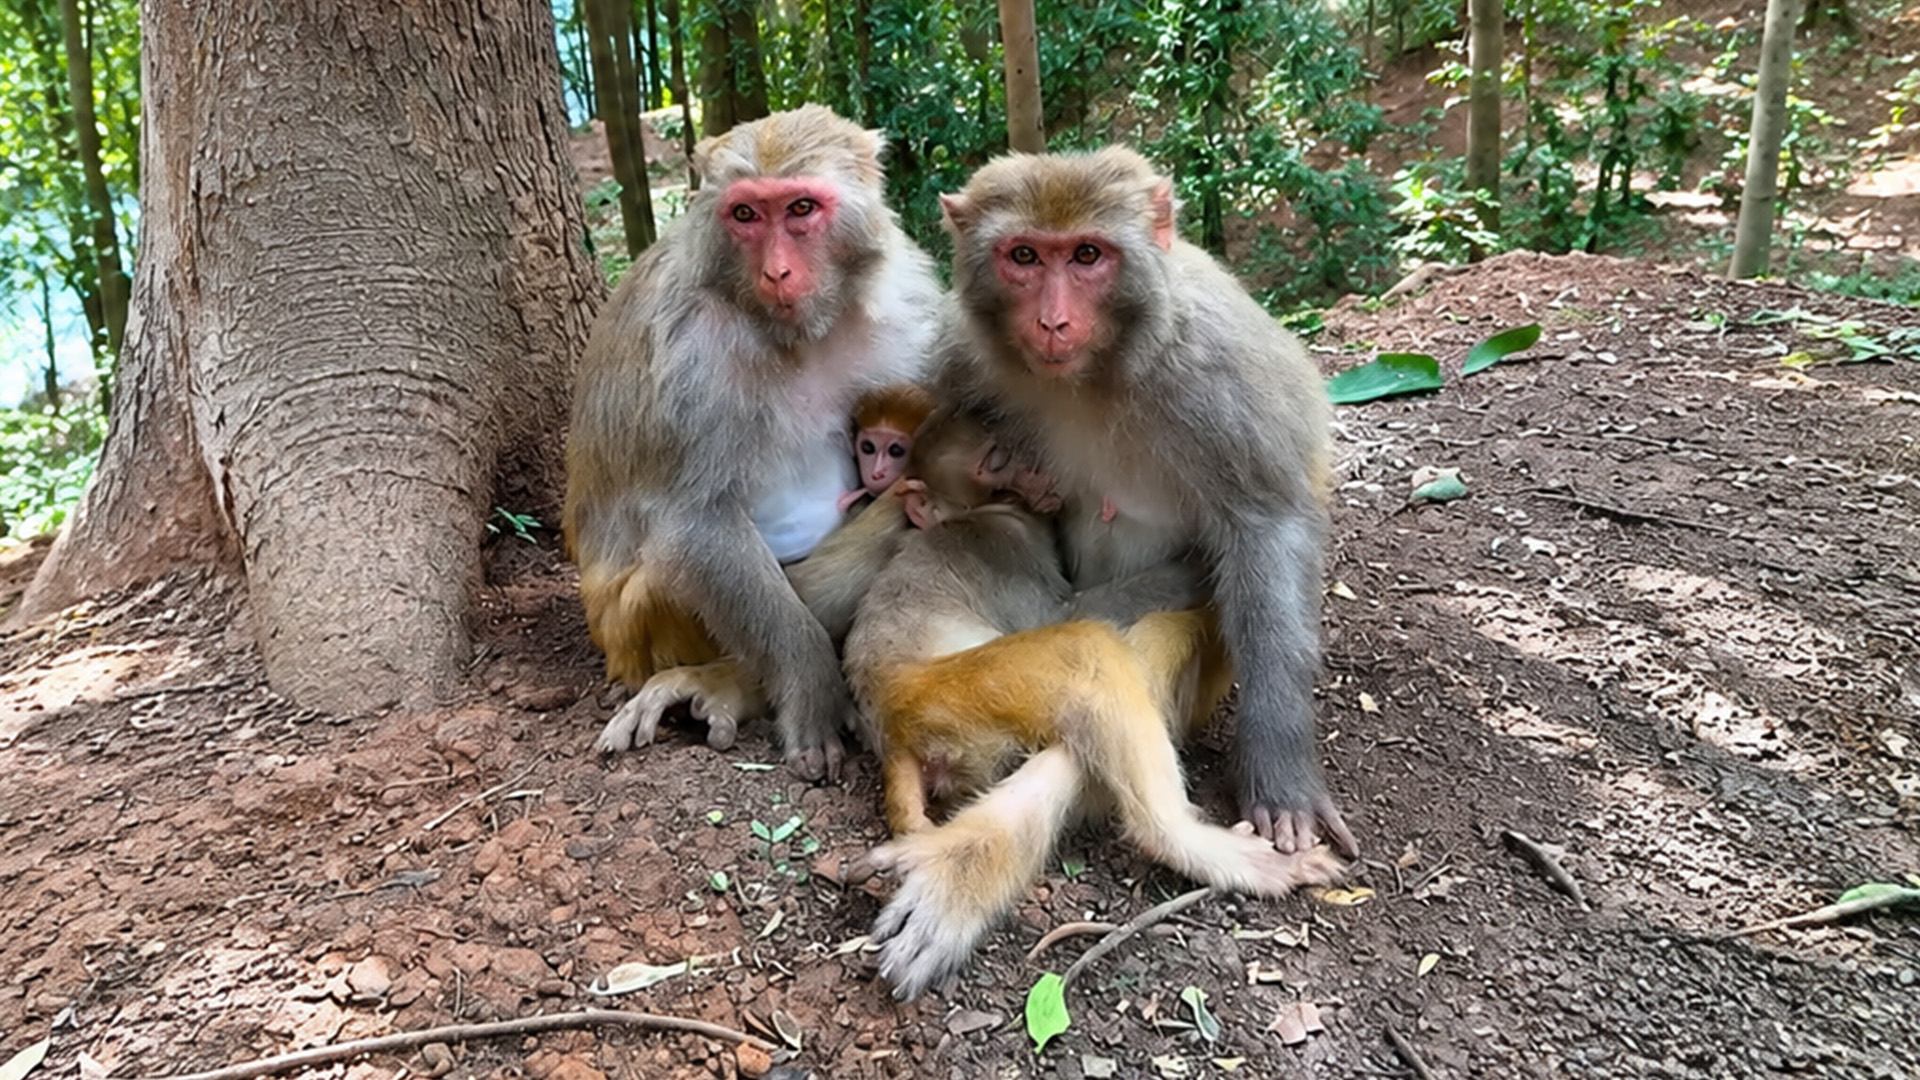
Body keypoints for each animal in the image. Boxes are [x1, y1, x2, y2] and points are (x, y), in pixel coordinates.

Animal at [843, 409, 1337, 998]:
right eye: (996, 459)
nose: (1039, 473)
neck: (983, 509)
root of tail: (890, 725)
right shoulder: (1010, 545)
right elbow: (1071, 611)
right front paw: (1196, 566)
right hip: (957, 692)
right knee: (1087, 651)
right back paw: (1184, 841)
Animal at [931, 146, 1356, 857]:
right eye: (1024, 256)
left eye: (1087, 255)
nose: (1053, 321)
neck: (1094, 375)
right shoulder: (958, 353)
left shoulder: (1217, 372)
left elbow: (1267, 523)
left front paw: (1280, 772)